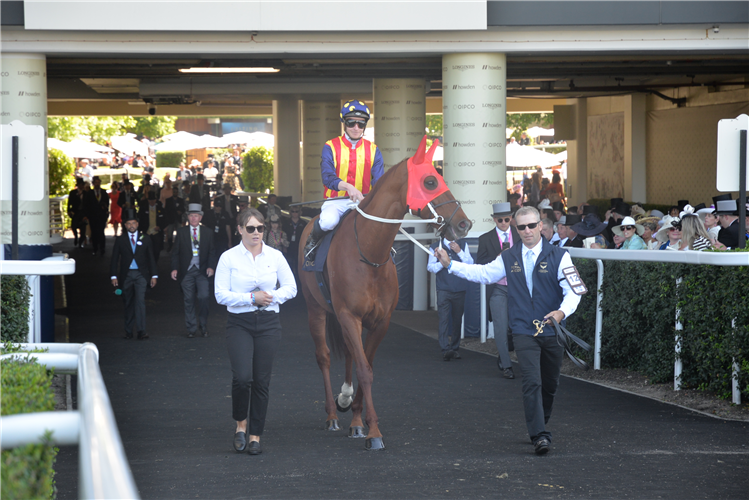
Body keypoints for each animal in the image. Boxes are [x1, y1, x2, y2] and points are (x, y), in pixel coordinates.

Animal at [296, 137, 468, 450]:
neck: (369, 254)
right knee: (323, 356)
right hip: (315, 308)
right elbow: (364, 369)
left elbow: (367, 364)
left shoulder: (380, 321)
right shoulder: (349, 315)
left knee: (350, 353)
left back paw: (344, 399)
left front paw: (357, 420)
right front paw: (373, 432)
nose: (464, 224)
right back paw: (331, 414)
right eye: (429, 181)